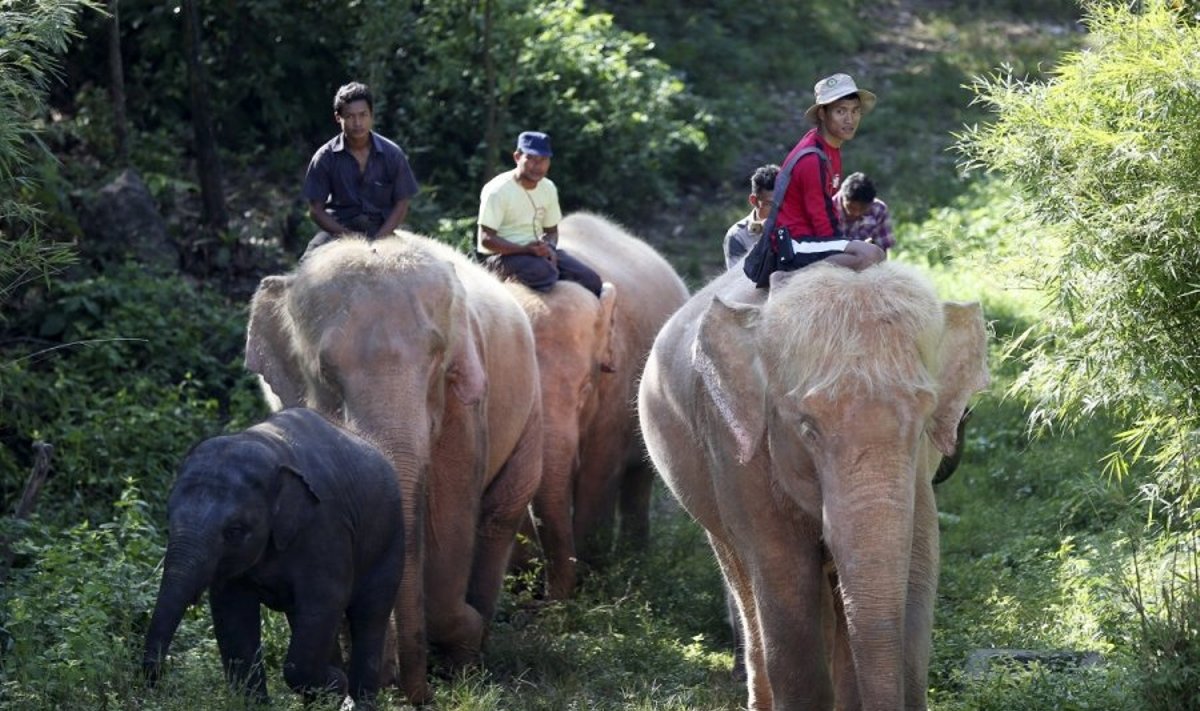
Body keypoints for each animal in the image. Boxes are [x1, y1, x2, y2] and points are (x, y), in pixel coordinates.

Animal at [142, 408, 405, 701]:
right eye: (168, 517)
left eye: (234, 531)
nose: (157, 679)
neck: (268, 447)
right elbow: (232, 612)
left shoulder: (325, 527)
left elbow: (327, 598)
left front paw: (336, 683)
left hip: (390, 540)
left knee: (369, 616)